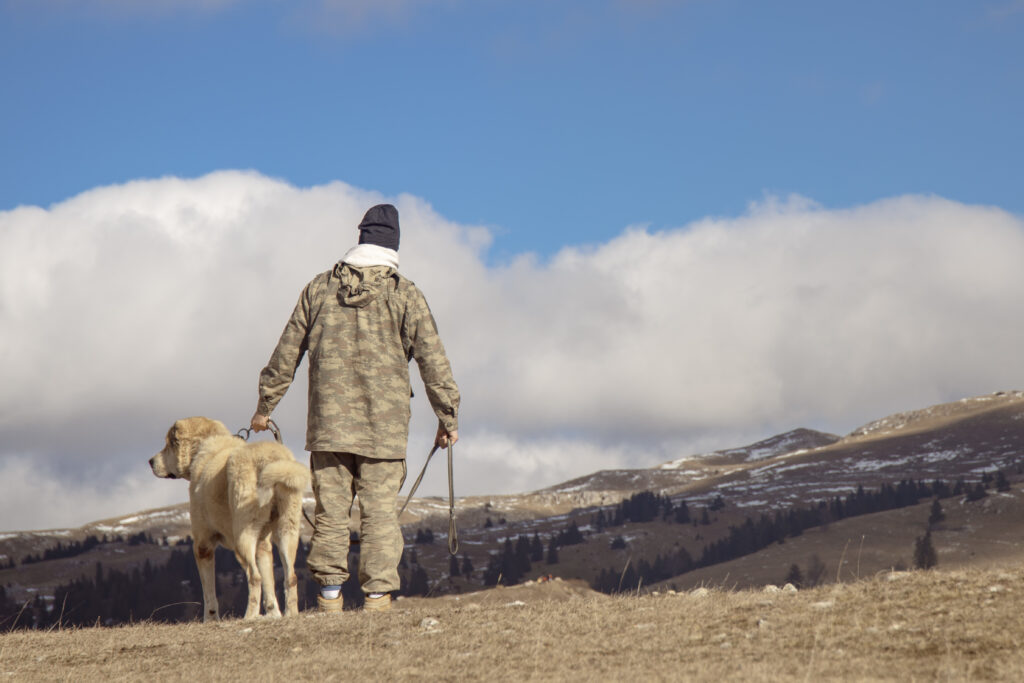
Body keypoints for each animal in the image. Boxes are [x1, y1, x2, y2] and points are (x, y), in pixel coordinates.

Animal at [148, 417, 307, 618]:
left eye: (169, 444)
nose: (150, 461)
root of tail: (267, 458)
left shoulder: (202, 545)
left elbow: (209, 594)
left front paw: (210, 619)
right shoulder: (263, 545)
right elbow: (269, 586)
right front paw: (274, 615)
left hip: (243, 537)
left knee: (254, 577)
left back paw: (249, 617)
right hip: (287, 532)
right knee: (291, 577)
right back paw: (291, 614)